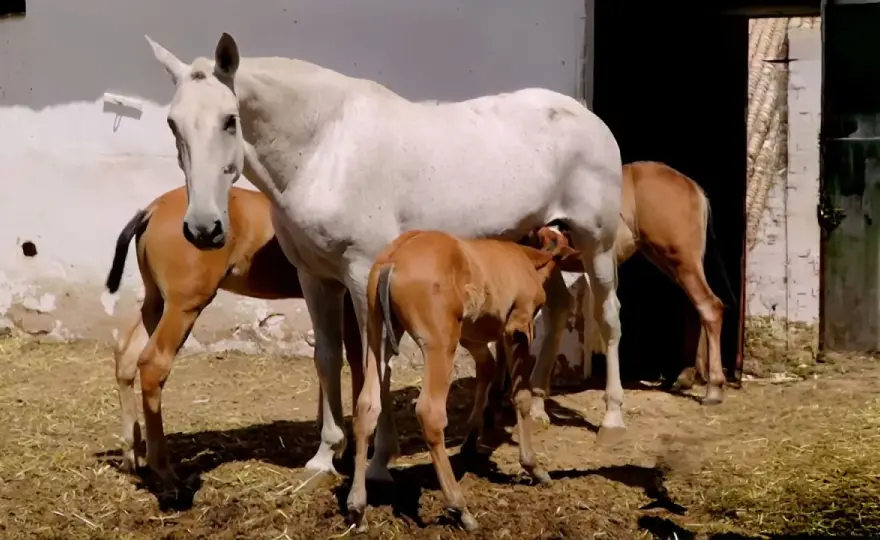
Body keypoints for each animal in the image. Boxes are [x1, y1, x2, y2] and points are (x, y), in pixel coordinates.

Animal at [105, 185, 360, 481]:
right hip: (184, 305)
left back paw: (130, 454)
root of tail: (152, 209)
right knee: (153, 363)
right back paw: (164, 469)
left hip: (156, 301)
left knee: (126, 355)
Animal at [144, 33, 626, 497]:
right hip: (536, 241)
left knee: (608, 317)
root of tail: (586, 116)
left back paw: (612, 420)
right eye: (172, 123)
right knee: (558, 308)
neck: (325, 150)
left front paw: (378, 462)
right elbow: (327, 358)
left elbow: (377, 362)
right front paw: (324, 458)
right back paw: (538, 404)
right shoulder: (316, 278)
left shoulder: (364, 276)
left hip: (595, 244)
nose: (203, 228)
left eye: (230, 119)